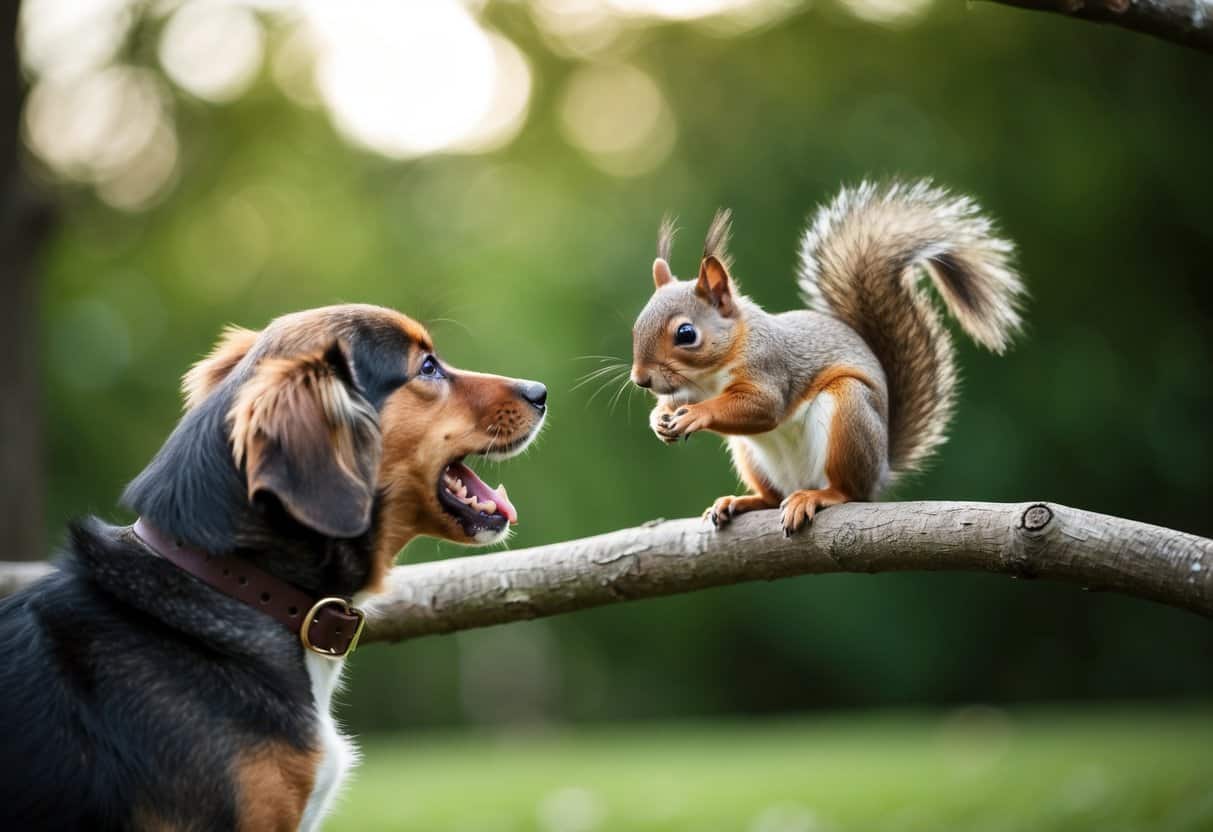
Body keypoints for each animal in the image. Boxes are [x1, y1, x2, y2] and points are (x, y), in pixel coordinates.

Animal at [629, 180, 1026, 535]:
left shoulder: (770, 366)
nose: (641, 379)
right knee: (772, 497)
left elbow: (764, 406)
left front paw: (697, 414)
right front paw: (659, 418)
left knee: (847, 491)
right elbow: (675, 402)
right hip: (750, 456)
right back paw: (740, 501)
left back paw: (817, 497)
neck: (710, 375)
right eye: (636, 326)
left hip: (848, 415)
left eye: (686, 334)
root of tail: (880, 470)